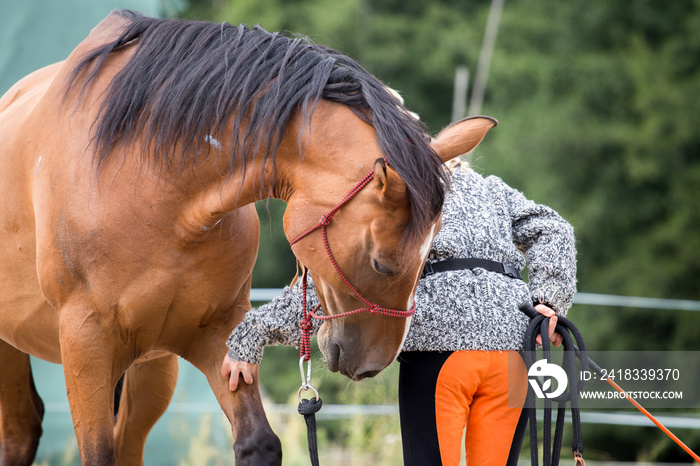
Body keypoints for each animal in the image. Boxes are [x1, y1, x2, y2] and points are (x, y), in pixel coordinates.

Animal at [0, 8, 494, 466]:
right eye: (381, 263)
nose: (373, 363)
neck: (154, 187)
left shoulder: (219, 333)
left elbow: (259, 443)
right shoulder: (86, 347)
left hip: (152, 370)